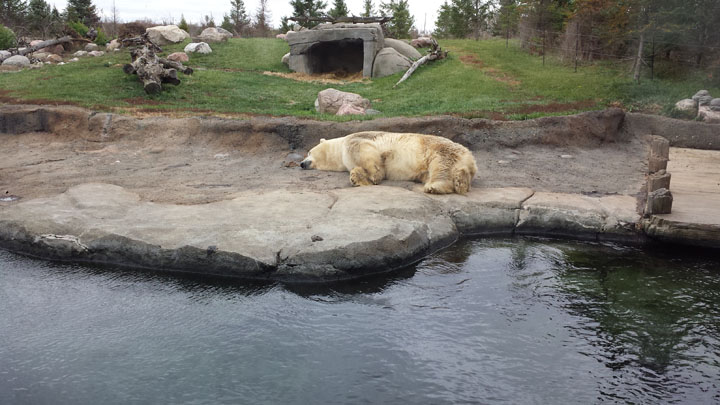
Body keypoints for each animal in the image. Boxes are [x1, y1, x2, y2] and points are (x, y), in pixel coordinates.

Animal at [298, 131, 478, 194]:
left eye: (309, 152)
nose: (301, 163)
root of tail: (470, 158)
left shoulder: (356, 138)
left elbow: (362, 149)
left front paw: (375, 175)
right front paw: (358, 178)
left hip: (438, 149)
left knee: (441, 166)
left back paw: (435, 187)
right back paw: (461, 181)